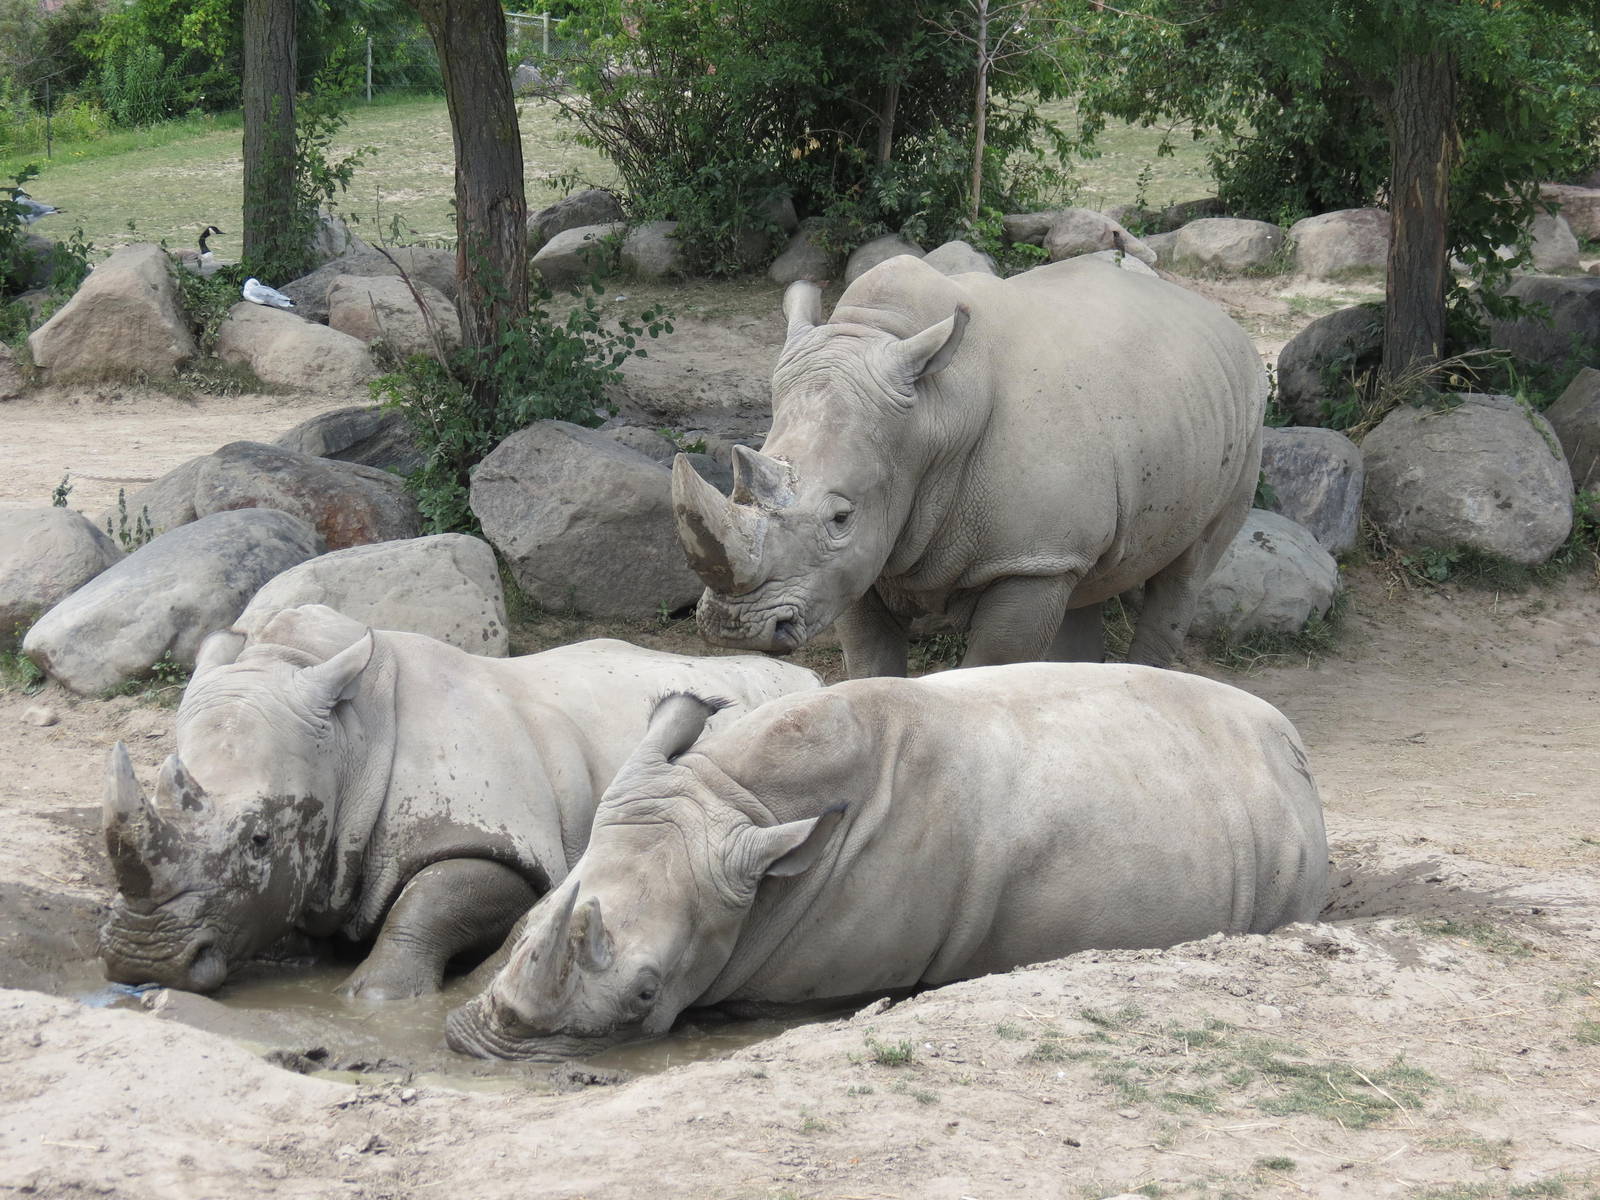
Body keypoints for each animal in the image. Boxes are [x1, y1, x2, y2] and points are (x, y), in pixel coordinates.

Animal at [98, 604, 821, 999]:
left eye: (259, 840)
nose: (145, 961)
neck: (349, 738)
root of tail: (813, 677)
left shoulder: (505, 840)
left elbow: (434, 898)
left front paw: (376, 997)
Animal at [671, 255, 1267, 676]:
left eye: (840, 517)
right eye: (735, 489)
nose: (733, 627)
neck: (932, 418)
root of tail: (1219, 316)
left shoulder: (1026, 560)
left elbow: (988, 666)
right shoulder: (857, 564)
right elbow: (870, 664)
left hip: (1249, 413)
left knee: (1187, 570)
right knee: (1088, 578)